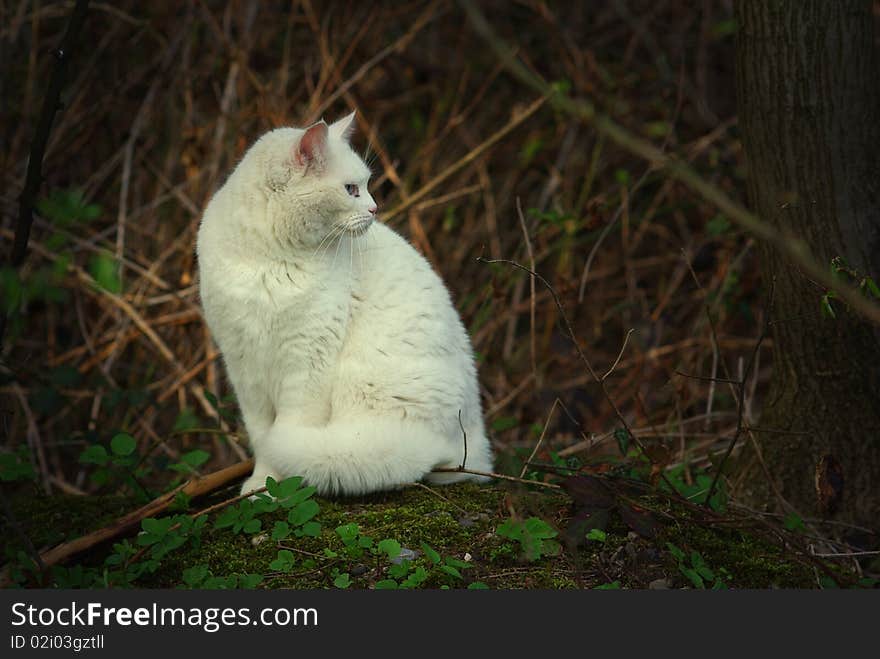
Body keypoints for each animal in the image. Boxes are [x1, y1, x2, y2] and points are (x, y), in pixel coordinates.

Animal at [195, 113, 492, 496]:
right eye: (352, 189)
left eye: (365, 186)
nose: (374, 209)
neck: (268, 258)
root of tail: (478, 445)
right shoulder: (244, 365)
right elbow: (261, 436)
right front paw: (261, 484)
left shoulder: (307, 361)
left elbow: (285, 433)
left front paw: (279, 487)